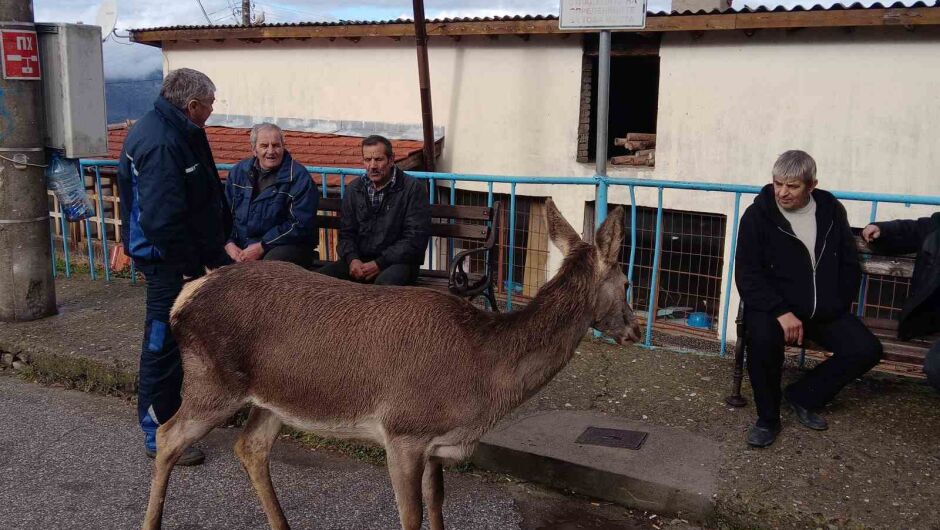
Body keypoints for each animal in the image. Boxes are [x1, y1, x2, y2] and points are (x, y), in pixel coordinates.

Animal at [143, 198, 644, 528]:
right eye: (627, 282)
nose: (635, 330)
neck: (483, 380)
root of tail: (184, 298)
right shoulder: (403, 430)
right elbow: (413, 517)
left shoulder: (436, 445)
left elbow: (438, 508)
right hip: (212, 381)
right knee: (169, 435)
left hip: (273, 399)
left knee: (250, 447)